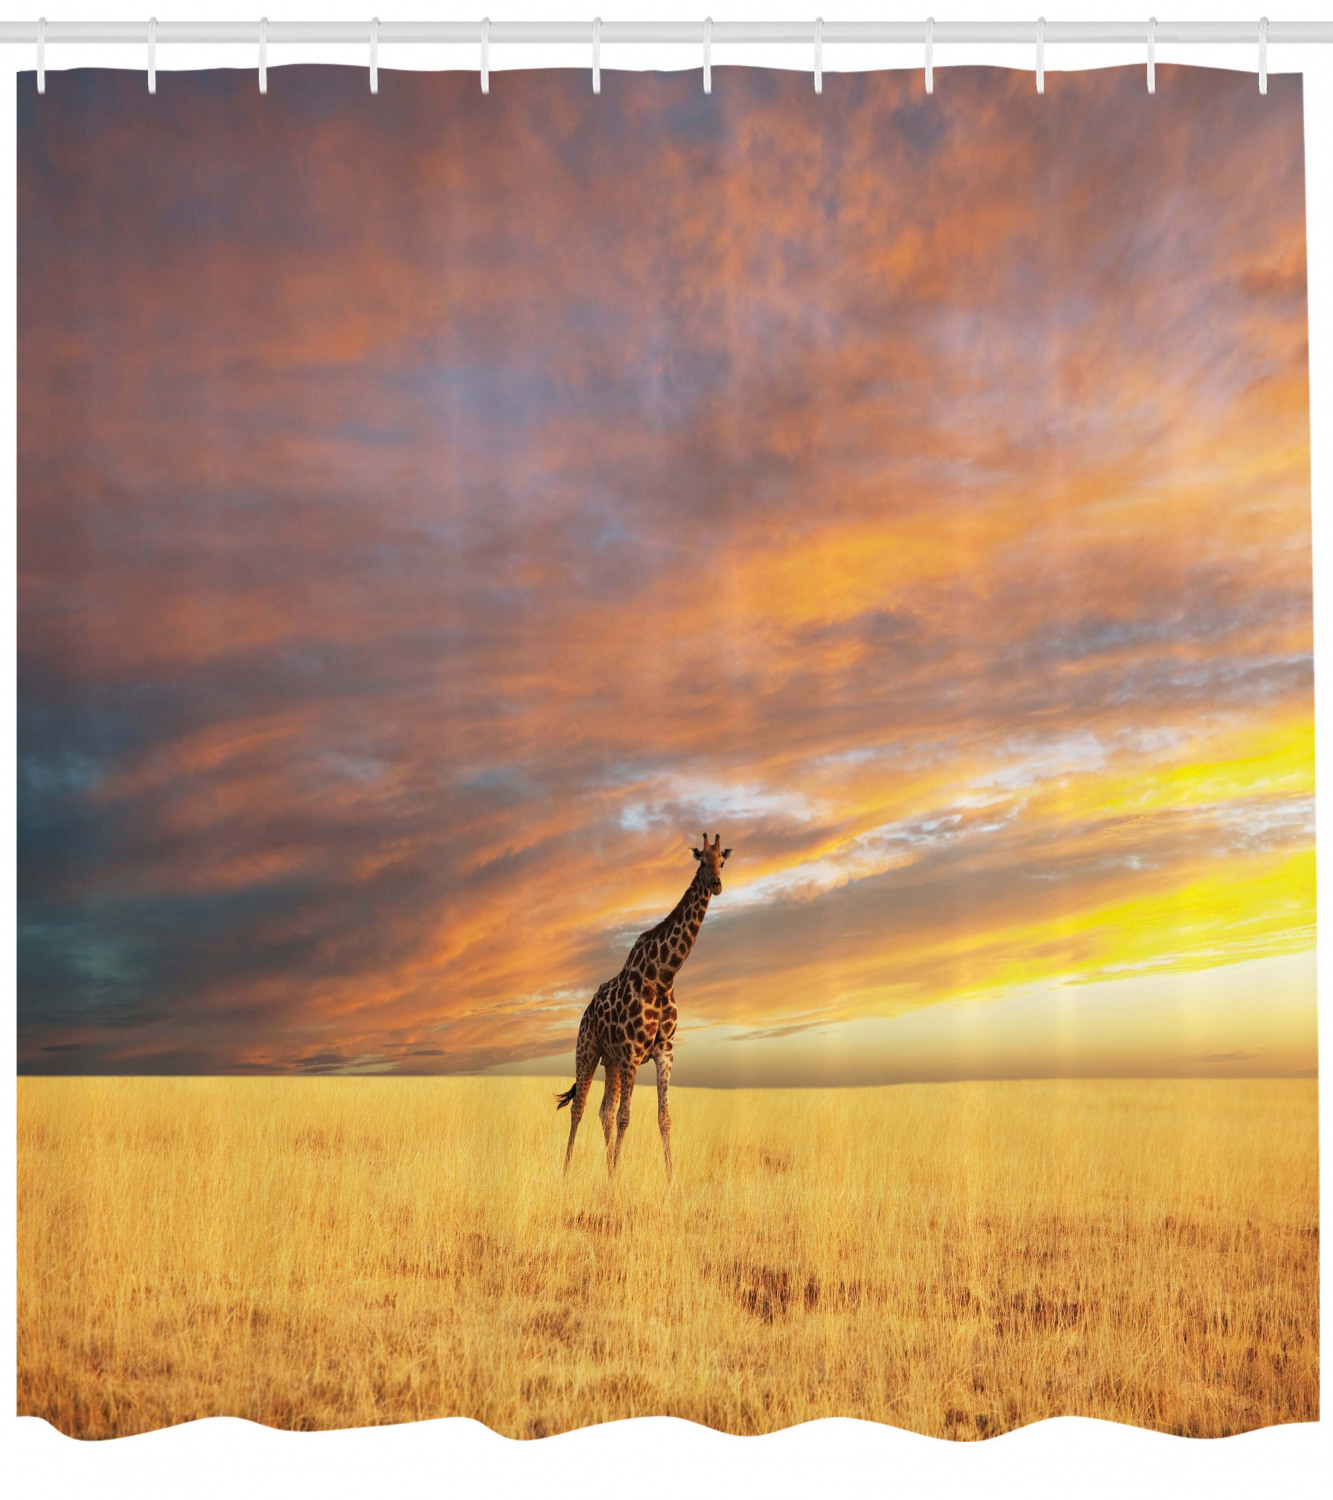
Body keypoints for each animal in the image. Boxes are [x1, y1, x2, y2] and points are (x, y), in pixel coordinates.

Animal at [556, 833, 730, 1179]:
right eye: (702, 860)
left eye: (723, 861)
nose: (717, 884)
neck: (664, 974)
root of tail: (585, 1012)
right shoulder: (633, 1053)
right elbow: (626, 1116)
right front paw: (616, 1180)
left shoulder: (665, 1050)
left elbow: (664, 1118)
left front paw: (670, 1180)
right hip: (588, 1051)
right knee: (580, 1108)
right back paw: (566, 1173)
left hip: (611, 1061)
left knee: (604, 1110)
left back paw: (606, 1167)